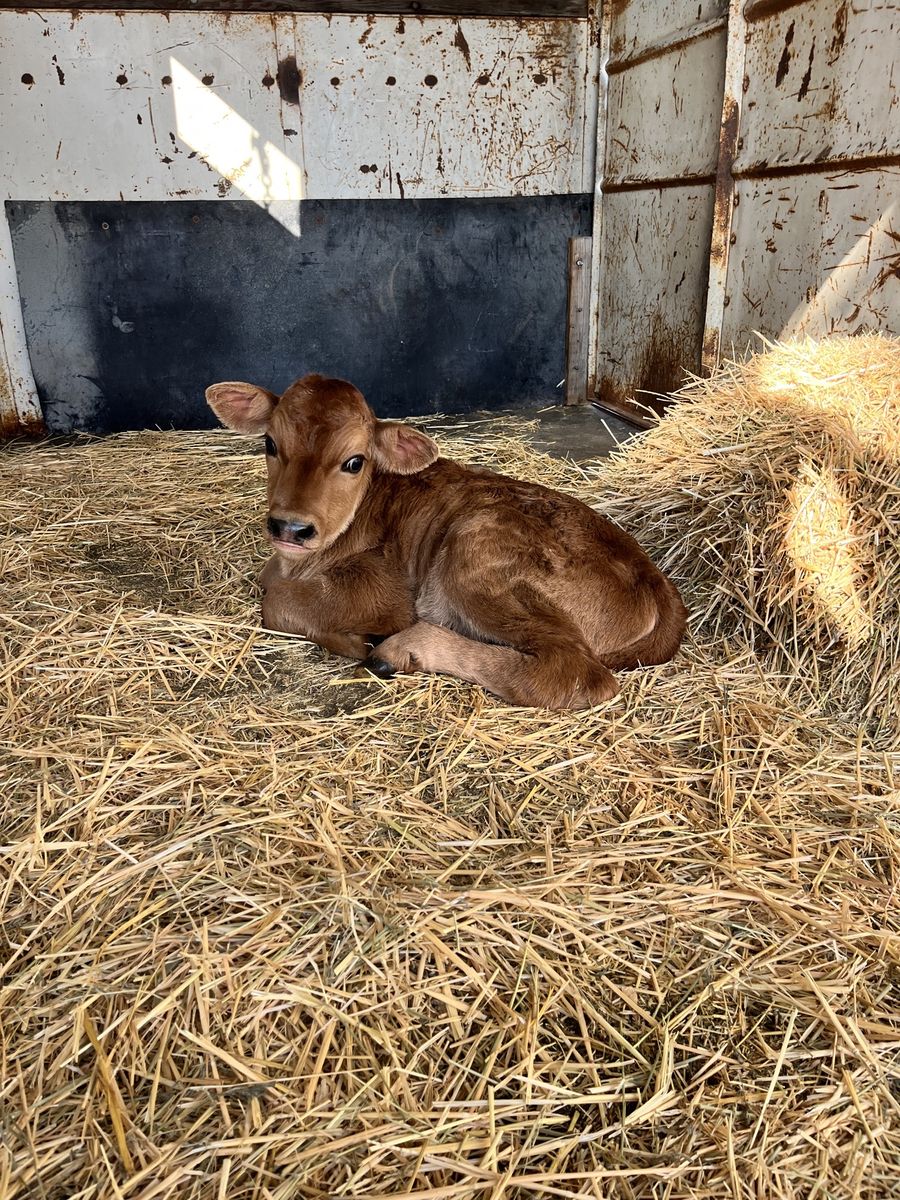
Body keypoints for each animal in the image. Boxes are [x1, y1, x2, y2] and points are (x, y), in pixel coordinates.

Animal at [206, 374, 687, 710]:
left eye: (354, 461)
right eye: (270, 443)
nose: (290, 527)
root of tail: (656, 581)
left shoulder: (386, 590)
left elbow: (276, 602)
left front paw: (354, 639)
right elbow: (267, 583)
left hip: (478, 550)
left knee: (574, 672)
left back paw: (400, 650)